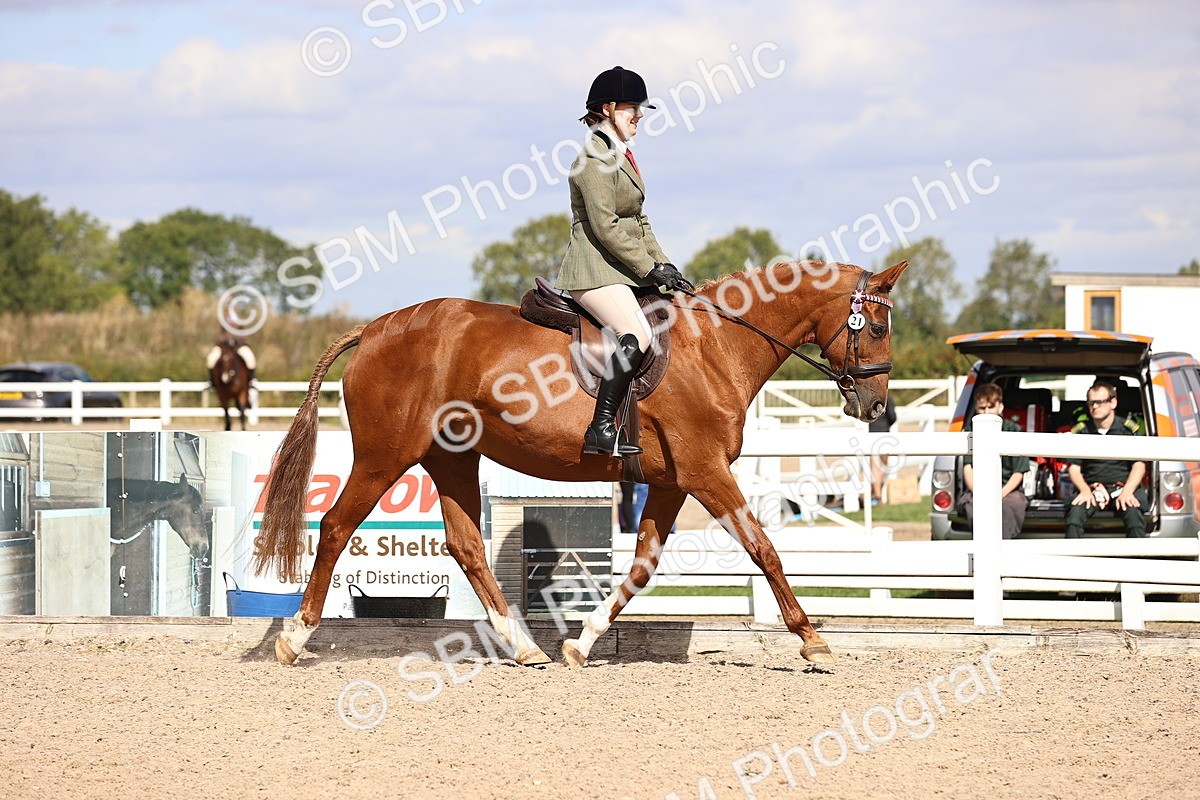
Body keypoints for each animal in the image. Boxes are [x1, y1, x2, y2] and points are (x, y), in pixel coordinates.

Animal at [254, 259, 908, 667]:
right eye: (876, 327)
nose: (876, 406)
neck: (717, 345)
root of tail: (372, 330)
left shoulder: (671, 482)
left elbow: (641, 568)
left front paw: (582, 644)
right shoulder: (707, 473)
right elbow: (764, 548)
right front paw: (813, 641)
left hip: (451, 459)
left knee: (465, 546)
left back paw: (525, 648)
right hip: (385, 455)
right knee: (335, 526)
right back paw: (295, 638)